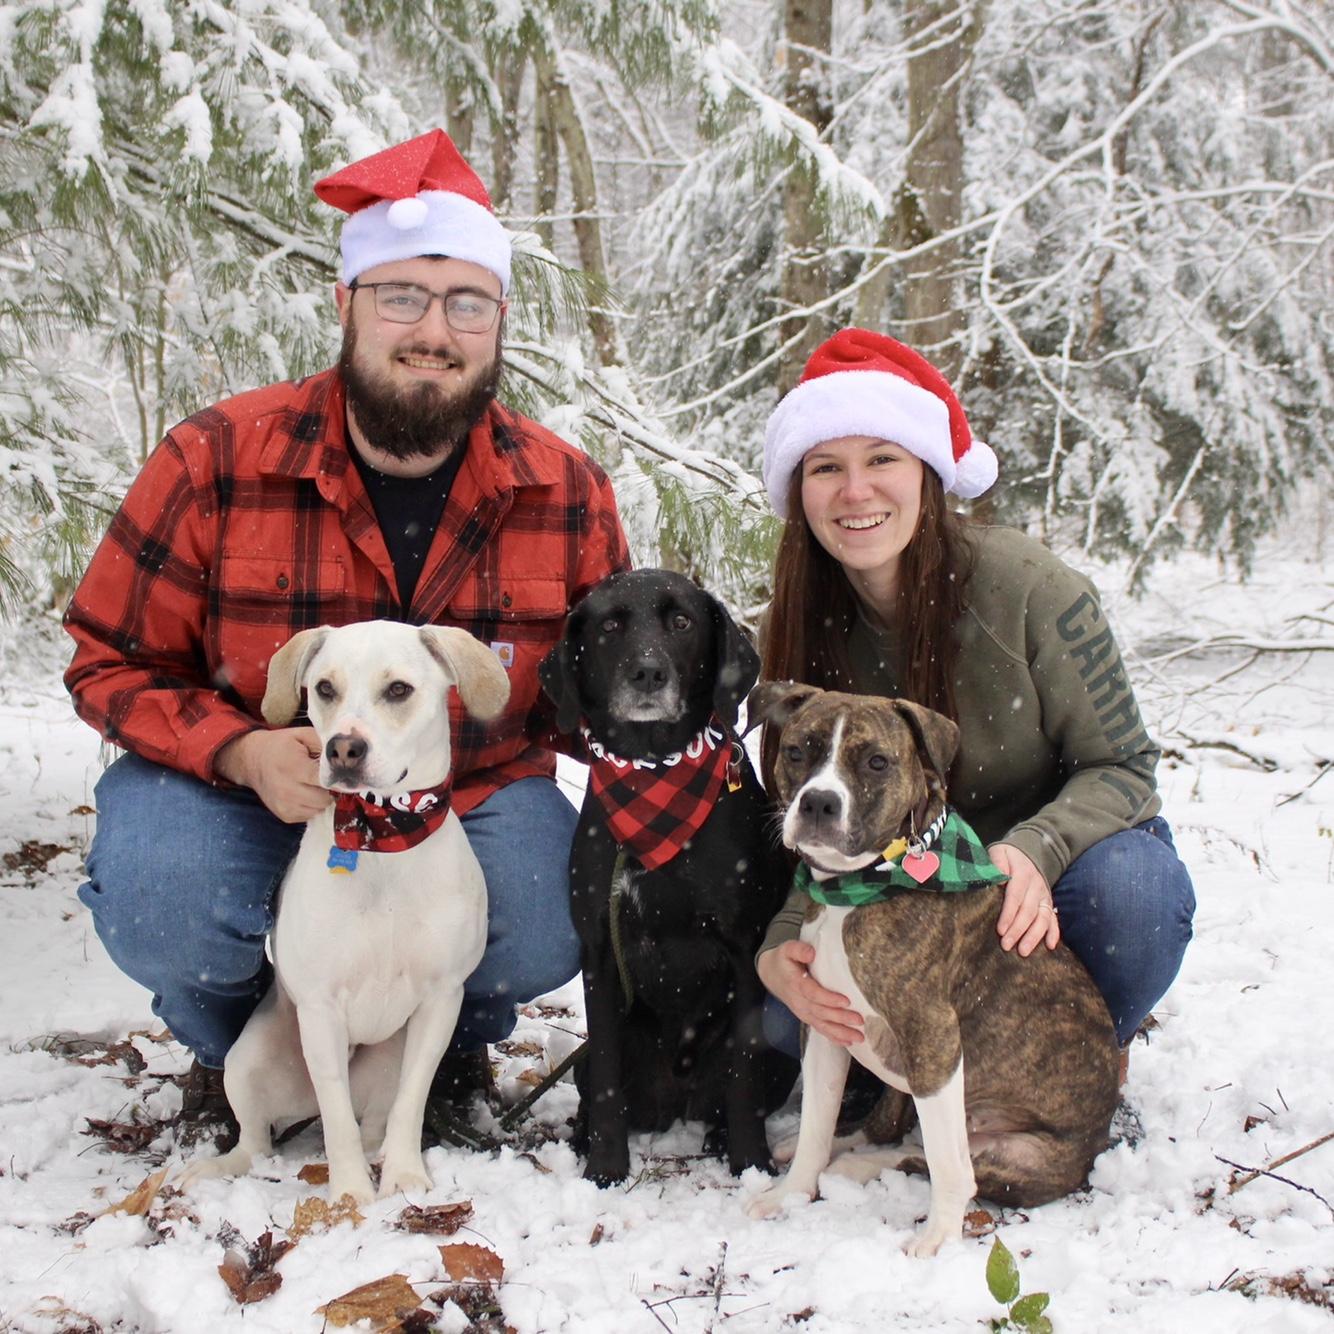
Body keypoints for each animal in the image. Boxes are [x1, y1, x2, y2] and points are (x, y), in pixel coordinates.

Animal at [183, 620, 509, 1204]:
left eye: (399, 689)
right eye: (324, 688)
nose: (343, 748)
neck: (382, 836)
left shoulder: (440, 1000)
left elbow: (411, 1102)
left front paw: (404, 1176)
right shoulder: (320, 1010)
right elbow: (335, 1117)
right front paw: (351, 1195)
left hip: (384, 1064)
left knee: (376, 1121)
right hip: (247, 1061)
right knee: (257, 1140)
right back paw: (218, 1165)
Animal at [539, 569, 795, 1185]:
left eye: (681, 622)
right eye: (610, 626)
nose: (649, 673)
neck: (655, 776)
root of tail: (678, 1099)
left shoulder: (744, 947)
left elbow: (744, 1075)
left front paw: (751, 1164)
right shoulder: (600, 954)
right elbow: (608, 1078)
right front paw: (606, 1169)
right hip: (593, 1058)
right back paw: (582, 1137)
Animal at [744, 684, 1119, 1256]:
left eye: (877, 762)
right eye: (797, 751)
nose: (819, 801)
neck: (860, 885)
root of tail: (1094, 1150)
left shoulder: (933, 1033)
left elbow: (948, 1164)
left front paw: (939, 1239)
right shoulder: (826, 1025)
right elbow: (815, 1124)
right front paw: (790, 1195)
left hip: (1017, 1151)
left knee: (939, 1157)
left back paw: (859, 1169)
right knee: (892, 1130)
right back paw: (846, 1154)